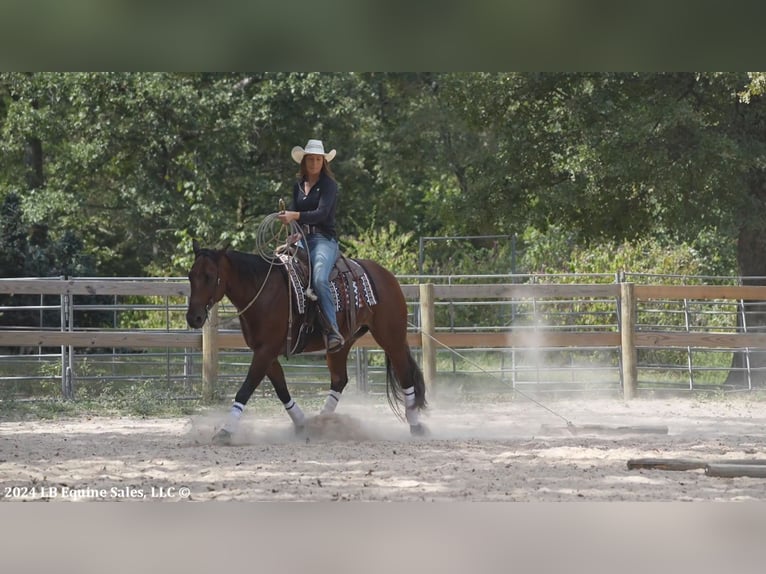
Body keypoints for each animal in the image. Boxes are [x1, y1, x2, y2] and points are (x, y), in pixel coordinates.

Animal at [184, 240, 428, 446]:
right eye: (190, 275)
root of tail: (386, 275)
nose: (193, 317)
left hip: (392, 338)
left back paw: (415, 425)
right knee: (339, 380)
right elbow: (282, 390)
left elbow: (245, 389)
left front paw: (225, 431)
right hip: (340, 344)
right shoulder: (266, 353)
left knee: (405, 376)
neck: (263, 291)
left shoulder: (265, 352)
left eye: (209, 275)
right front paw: (302, 424)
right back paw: (323, 423)